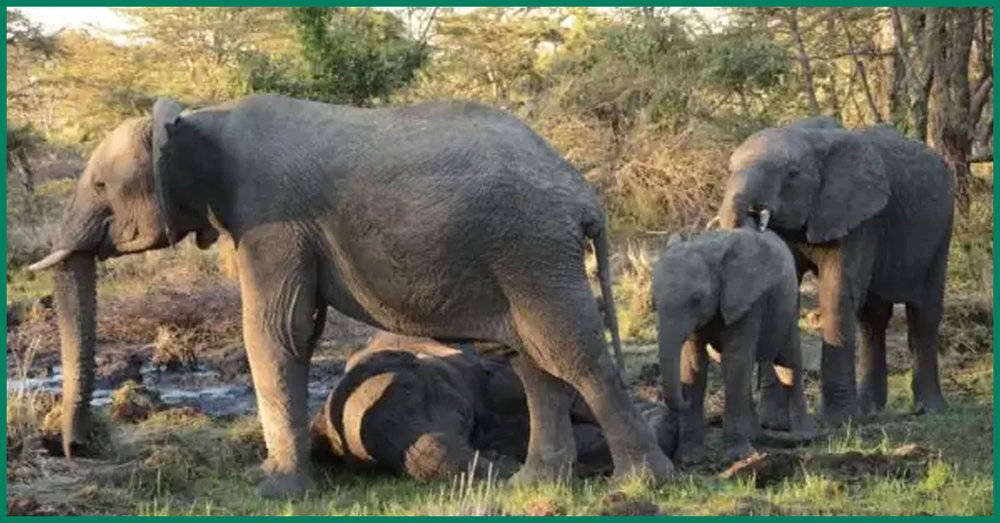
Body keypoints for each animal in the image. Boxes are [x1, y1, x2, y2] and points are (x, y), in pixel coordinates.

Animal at [653, 228, 812, 464]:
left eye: (696, 299)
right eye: (653, 302)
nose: (684, 399)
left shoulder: (747, 302)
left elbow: (736, 360)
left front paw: (738, 457)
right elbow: (693, 365)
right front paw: (690, 459)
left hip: (789, 307)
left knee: (788, 364)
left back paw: (802, 437)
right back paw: (754, 436)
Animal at [719, 117, 954, 426]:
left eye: (792, 174)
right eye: (729, 170)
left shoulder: (859, 218)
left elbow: (837, 292)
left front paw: (838, 423)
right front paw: (774, 424)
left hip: (941, 232)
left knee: (923, 316)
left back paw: (929, 410)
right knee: (872, 320)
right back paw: (869, 410)